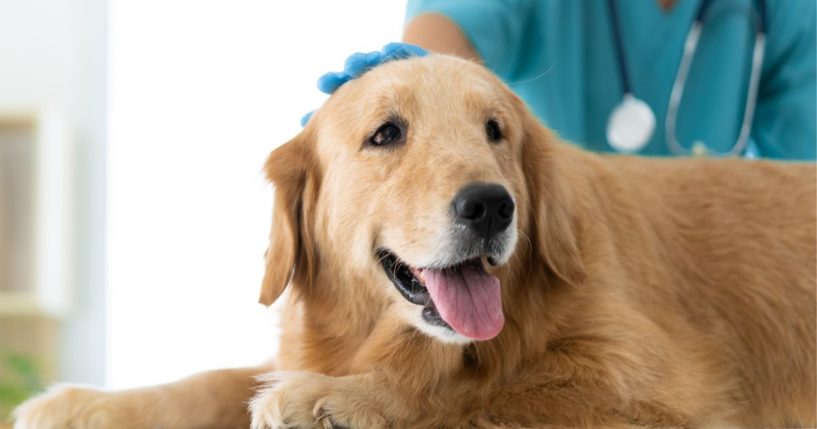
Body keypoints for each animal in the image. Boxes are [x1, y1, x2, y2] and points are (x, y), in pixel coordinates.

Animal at [12, 52, 816, 424]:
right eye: (387, 133)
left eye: (495, 130)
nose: (491, 206)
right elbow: (215, 380)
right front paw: (81, 402)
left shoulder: (658, 387)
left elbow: (479, 390)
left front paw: (334, 399)